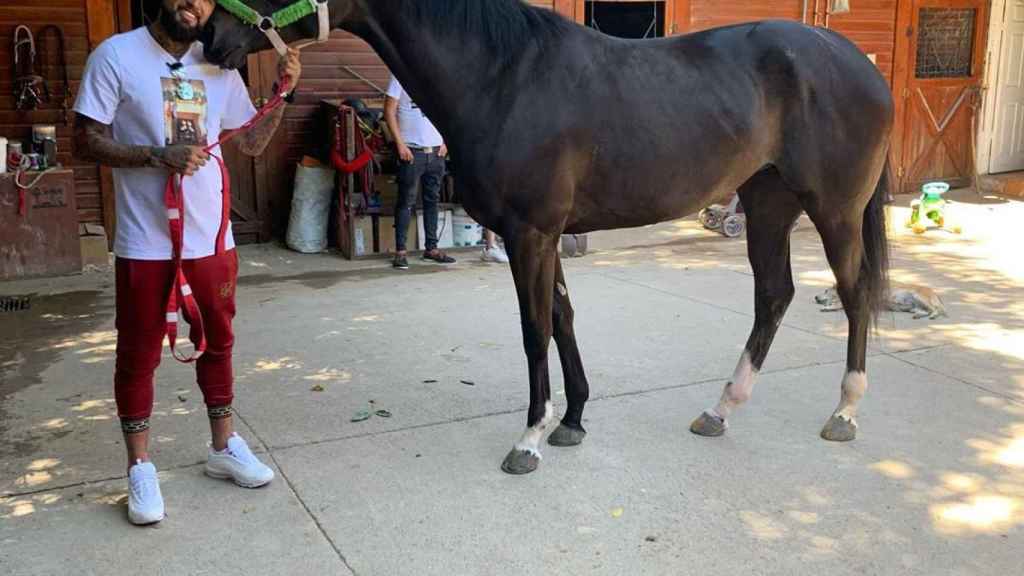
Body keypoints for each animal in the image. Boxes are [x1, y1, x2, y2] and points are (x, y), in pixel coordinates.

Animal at [199, 0, 888, 473]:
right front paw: (574, 420)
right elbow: (562, 318)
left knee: (854, 294)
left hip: (833, 209)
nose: (210, 38)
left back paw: (846, 411)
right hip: (767, 203)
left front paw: (530, 438)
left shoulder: (529, 233)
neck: (502, 76)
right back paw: (721, 409)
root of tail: (859, 63)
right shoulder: (545, 235)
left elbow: (535, 330)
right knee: (774, 294)